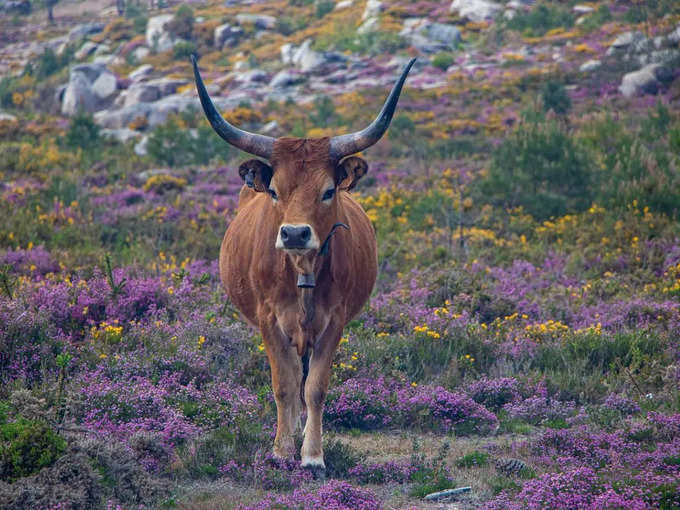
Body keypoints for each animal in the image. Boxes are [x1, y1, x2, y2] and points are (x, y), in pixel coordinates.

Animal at [191, 54, 414, 470]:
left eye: (327, 191)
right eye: (275, 191)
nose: (294, 233)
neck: (303, 272)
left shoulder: (334, 321)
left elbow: (315, 388)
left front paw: (311, 455)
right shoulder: (268, 319)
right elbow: (284, 385)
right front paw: (281, 450)